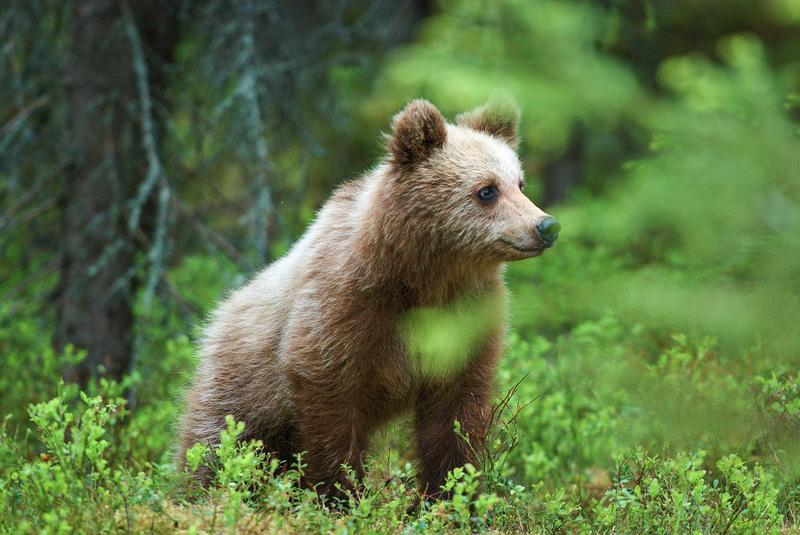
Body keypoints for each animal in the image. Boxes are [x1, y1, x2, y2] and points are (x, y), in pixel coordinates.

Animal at [176, 99, 560, 501]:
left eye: (520, 183)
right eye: (487, 190)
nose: (546, 226)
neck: (421, 276)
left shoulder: (465, 317)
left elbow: (456, 414)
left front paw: (451, 492)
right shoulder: (344, 311)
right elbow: (329, 409)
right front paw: (338, 493)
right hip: (239, 387)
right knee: (214, 446)